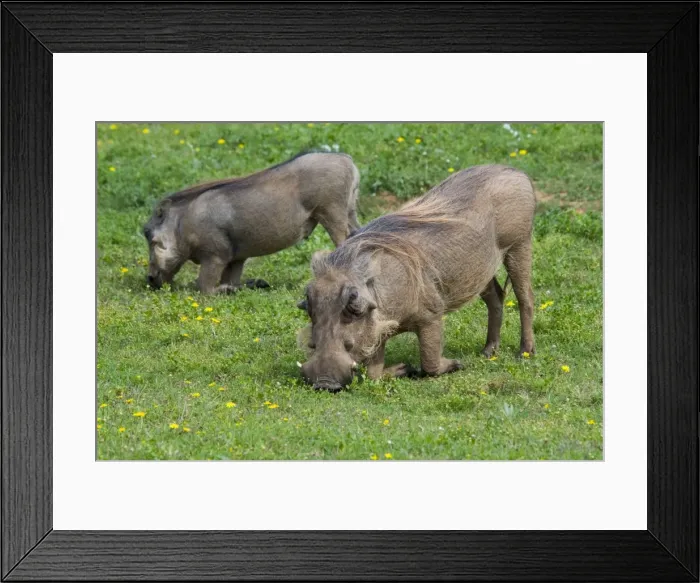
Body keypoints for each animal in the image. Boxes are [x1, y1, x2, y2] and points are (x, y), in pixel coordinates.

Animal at [143, 152, 361, 294]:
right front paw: (255, 285)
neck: (181, 227)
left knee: (344, 242)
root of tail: (347, 160)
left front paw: (226, 290)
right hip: (349, 212)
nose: (150, 280)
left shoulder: (215, 256)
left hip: (332, 213)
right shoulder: (236, 258)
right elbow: (233, 279)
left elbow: (205, 287)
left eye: (151, 238)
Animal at [297, 164, 536, 391]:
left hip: (520, 245)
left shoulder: (431, 316)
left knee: (526, 299)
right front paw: (404, 369)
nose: (325, 384)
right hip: (481, 269)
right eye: (313, 342)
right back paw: (488, 351)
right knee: (496, 297)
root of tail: (516, 172)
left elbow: (430, 364)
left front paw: (456, 364)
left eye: (354, 309)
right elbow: (373, 373)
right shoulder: (378, 329)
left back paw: (525, 353)